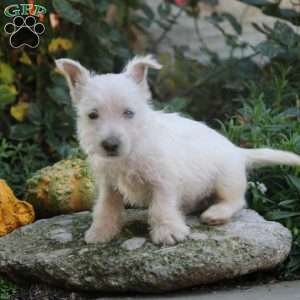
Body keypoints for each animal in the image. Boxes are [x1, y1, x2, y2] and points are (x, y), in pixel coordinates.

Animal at [55, 55, 300, 245]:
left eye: (129, 113)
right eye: (92, 115)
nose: (110, 145)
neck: (132, 150)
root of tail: (238, 150)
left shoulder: (164, 181)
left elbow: (161, 207)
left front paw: (168, 231)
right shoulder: (109, 185)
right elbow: (106, 207)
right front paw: (101, 231)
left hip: (226, 179)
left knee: (236, 201)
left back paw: (216, 213)